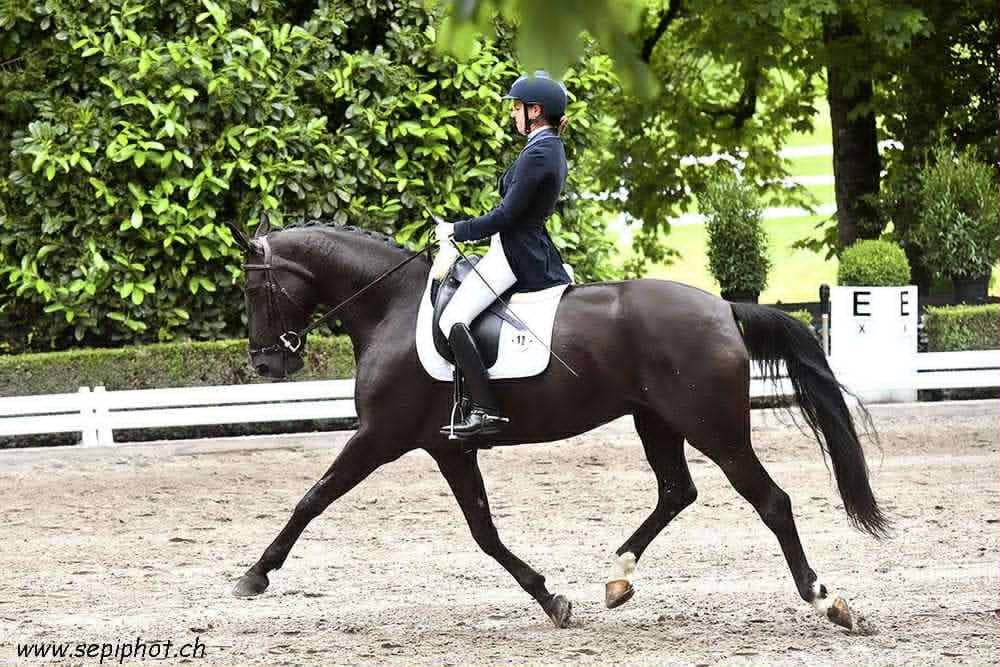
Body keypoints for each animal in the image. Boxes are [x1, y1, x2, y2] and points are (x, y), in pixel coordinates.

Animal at [230, 217, 887, 630]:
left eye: (253, 288)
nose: (265, 363)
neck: (389, 306)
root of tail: (724, 307)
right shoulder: (449, 449)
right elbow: (484, 531)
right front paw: (551, 599)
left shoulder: (379, 437)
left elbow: (313, 498)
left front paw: (253, 576)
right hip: (656, 421)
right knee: (676, 491)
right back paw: (618, 579)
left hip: (715, 429)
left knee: (770, 501)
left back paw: (828, 601)